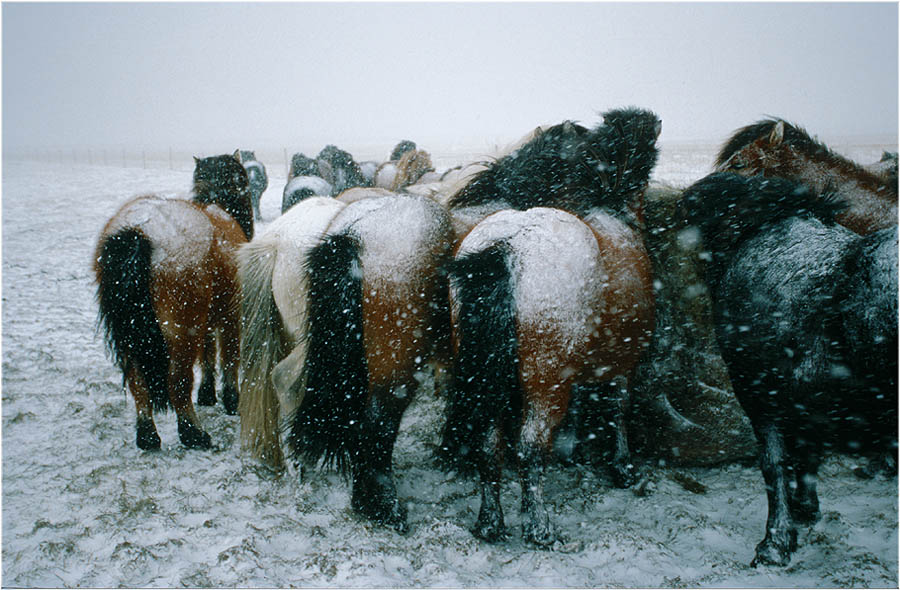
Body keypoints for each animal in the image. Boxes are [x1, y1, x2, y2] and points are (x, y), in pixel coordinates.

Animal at [95, 154, 253, 454]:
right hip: (182, 330)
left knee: (138, 383)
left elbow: (208, 356)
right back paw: (193, 433)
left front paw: (207, 393)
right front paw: (231, 399)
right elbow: (229, 358)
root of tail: (139, 229)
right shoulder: (231, 316)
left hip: (134, 336)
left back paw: (147, 435)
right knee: (178, 383)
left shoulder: (208, 321)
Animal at [680, 173, 896, 572]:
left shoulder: (758, 394)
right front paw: (804, 511)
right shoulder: (806, 402)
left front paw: (775, 542)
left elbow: (775, 463)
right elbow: (807, 455)